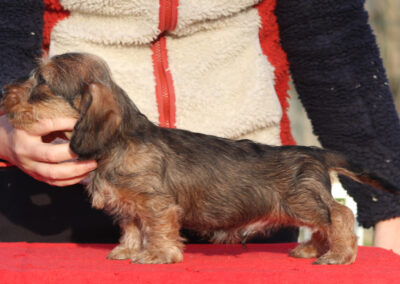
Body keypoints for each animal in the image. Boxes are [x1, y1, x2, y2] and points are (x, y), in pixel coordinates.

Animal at [0, 52, 396, 264]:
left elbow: (158, 228)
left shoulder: (157, 203)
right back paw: (311, 250)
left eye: (40, 84)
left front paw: (158, 255)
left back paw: (338, 255)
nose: (5, 91)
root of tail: (314, 151)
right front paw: (126, 251)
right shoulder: (131, 206)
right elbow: (133, 227)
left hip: (303, 201)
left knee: (339, 215)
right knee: (323, 224)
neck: (119, 140)